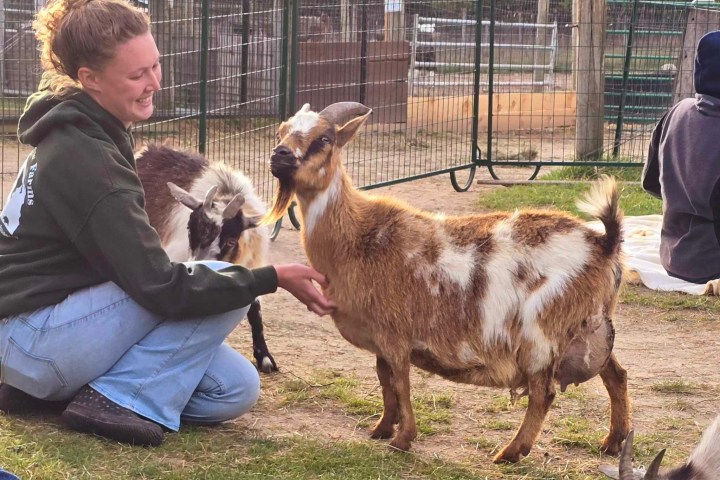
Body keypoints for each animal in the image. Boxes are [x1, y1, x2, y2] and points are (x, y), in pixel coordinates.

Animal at [262, 102, 631, 463]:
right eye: (280, 131)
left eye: (324, 139)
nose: (279, 155)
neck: (357, 237)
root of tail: (603, 243)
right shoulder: (380, 338)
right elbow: (385, 380)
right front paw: (382, 428)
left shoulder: (395, 334)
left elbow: (401, 382)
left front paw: (403, 439)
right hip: (589, 329)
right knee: (616, 374)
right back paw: (613, 441)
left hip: (542, 333)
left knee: (544, 393)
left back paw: (510, 452)